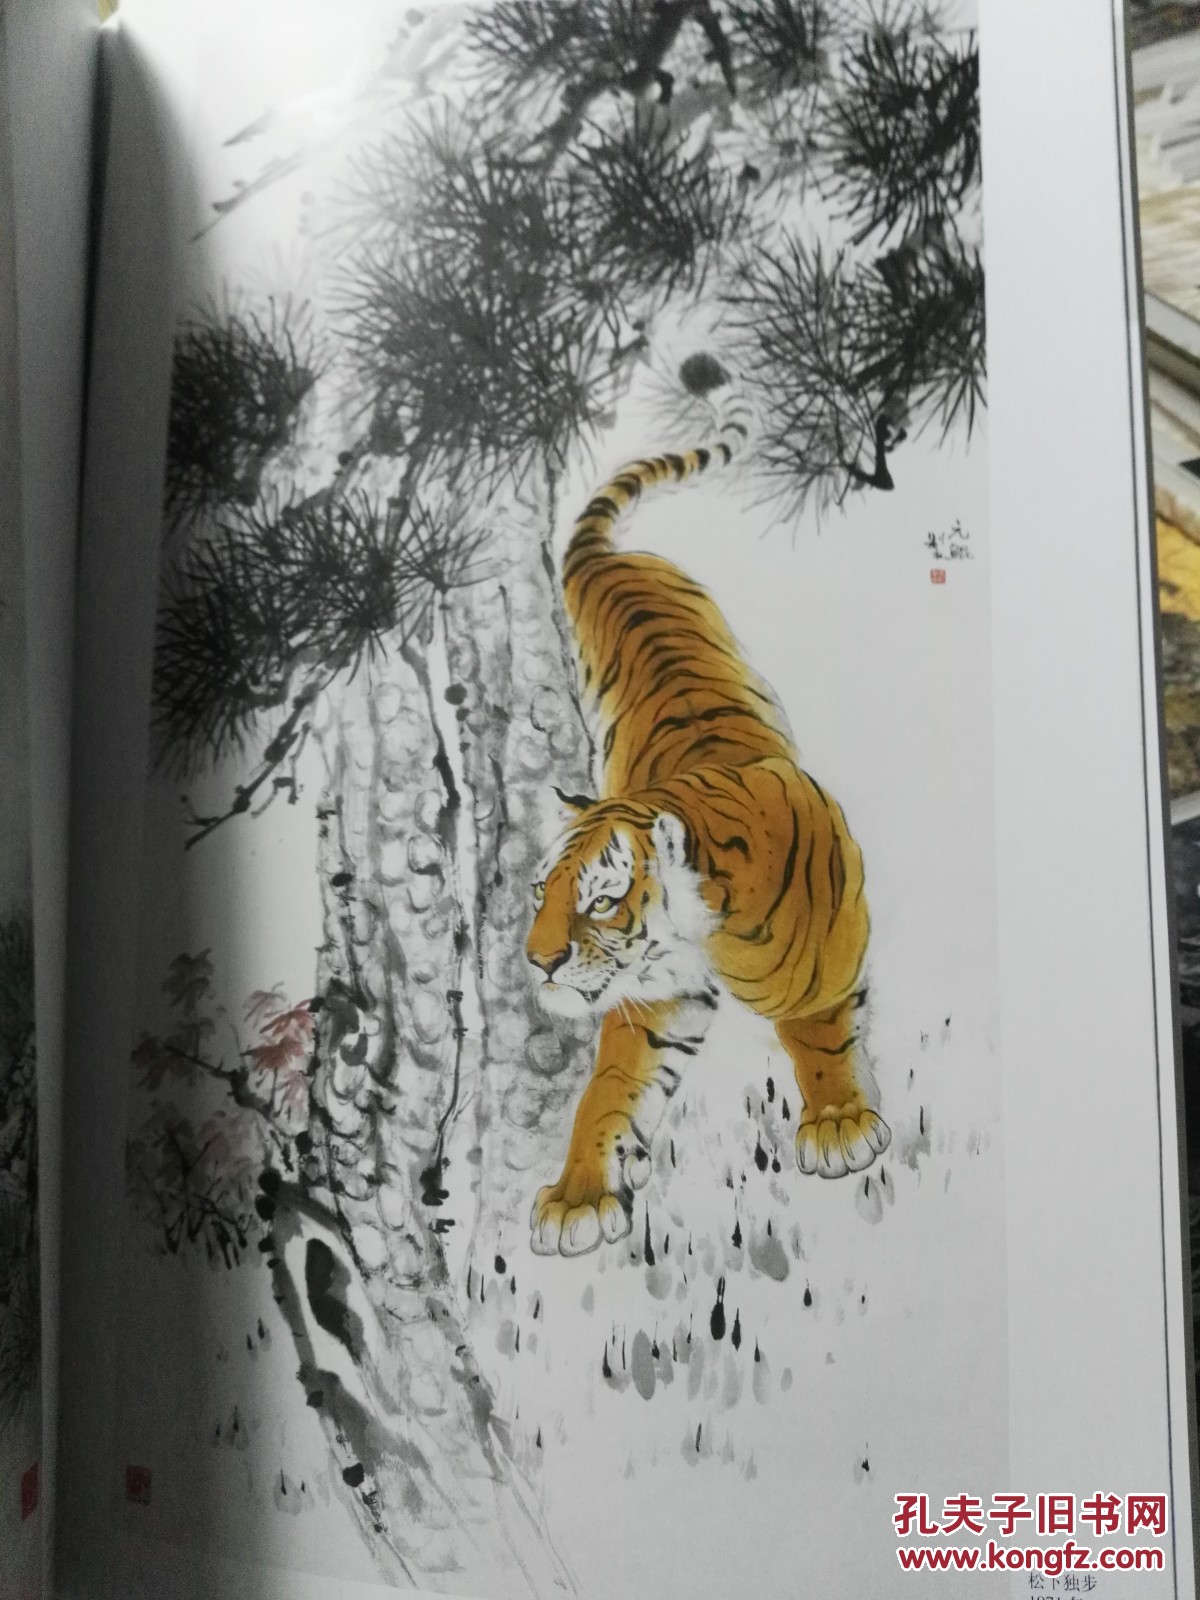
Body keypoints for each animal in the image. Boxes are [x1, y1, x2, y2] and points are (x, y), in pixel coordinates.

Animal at [525, 366, 890, 1258]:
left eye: (600, 900)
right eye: (540, 894)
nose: (537, 962)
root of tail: (609, 556)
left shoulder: (824, 954)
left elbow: (816, 1030)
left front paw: (838, 1124)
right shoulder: (650, 1000)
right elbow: (608, 1089)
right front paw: (579, 1197)